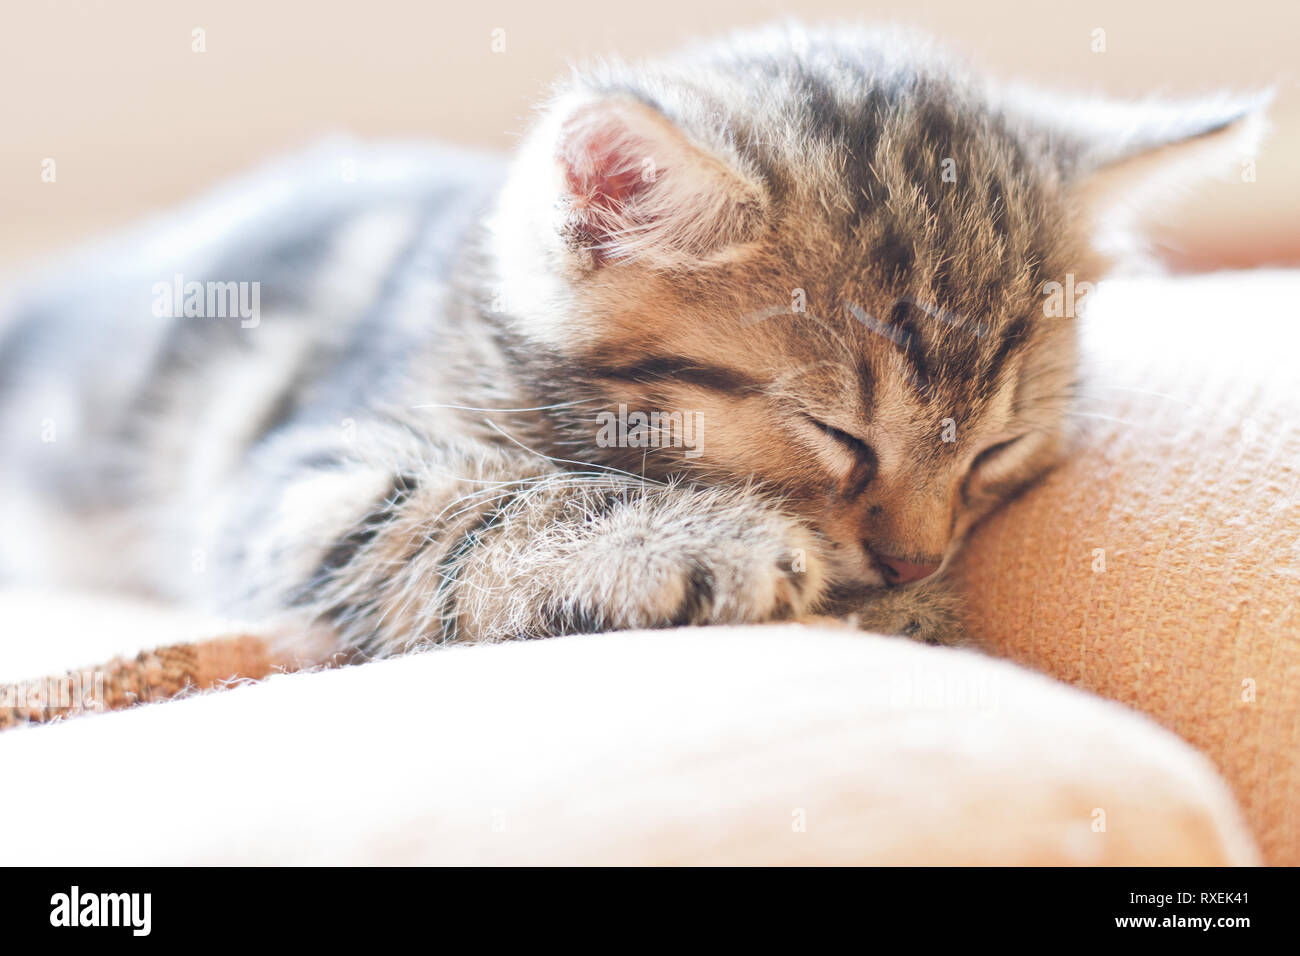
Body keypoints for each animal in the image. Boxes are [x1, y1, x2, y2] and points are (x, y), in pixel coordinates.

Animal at [0, 26, 1258, 660]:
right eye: (837, 436)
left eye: (997, 451)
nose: (912, 557)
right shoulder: (301, 483)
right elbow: (477, 502)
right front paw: (698, 541)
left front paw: (901, 607)